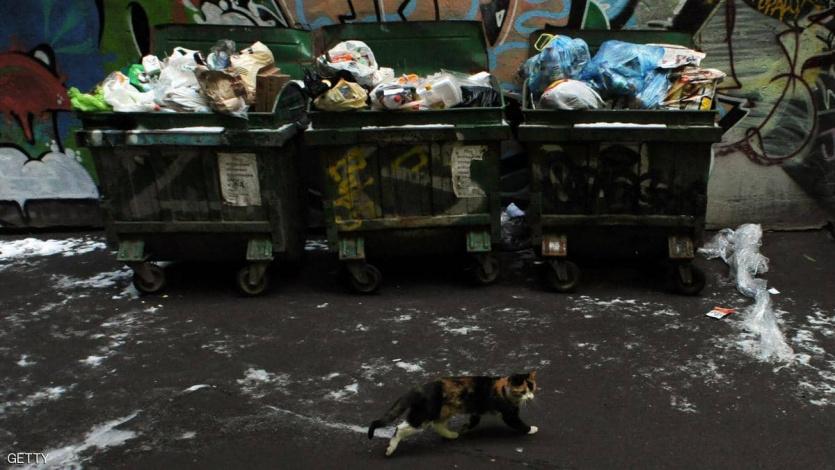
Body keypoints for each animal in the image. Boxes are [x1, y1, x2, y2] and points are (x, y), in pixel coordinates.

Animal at [367, 371, 538, 456]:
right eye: (524, 391)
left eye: (533, 388)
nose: (531, 397)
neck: (504, 389)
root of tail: (419, 388)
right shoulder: (509, 414)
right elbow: (519, 424)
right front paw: (532, 429)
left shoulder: (476, 411)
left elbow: (473, 421)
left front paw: (464, 428)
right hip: (425, 414)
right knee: (400, 428)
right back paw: (391, 449)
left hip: (443, 411)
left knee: (437, 425)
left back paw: (451, 435)